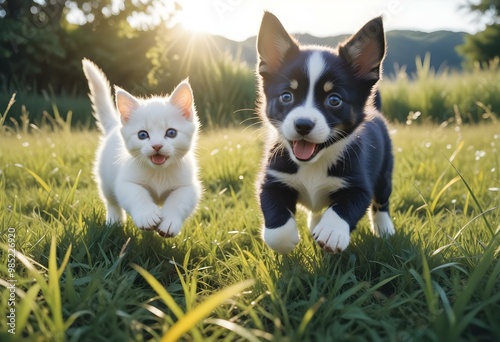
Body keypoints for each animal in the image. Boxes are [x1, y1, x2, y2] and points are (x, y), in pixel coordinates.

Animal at [82, 57, 201, 236]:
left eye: (171, 133)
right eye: (142, 135)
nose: (157, 146)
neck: (159, 173)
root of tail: (115, 125)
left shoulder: (189, 186)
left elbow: (180, 200)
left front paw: (170, 222)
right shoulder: (125, 181)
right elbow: (135, 194)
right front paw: (147, 215)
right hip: (105, 180)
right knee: (111, 201)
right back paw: (114, 222)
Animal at [258, 12, 394, 254]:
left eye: (334, 100)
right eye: (286, 96)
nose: (303, 124)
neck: (314, 163)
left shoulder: (358, 183)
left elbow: (346, 207)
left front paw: (332, 231)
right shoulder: (273, 178)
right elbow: (276, 226)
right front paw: (287, 239)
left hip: (385, 171)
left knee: (382, 201)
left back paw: (384, 229)